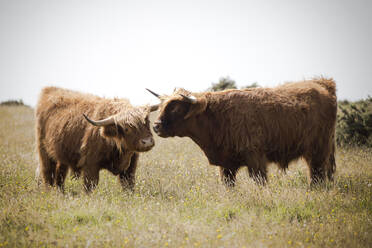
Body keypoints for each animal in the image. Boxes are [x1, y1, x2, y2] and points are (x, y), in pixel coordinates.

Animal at [147, 78, 338, 187]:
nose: (156, 126)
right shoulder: (226, 164)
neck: (216, 118)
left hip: (319, 148)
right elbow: (228, 184)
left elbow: (260, 182)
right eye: (162, 106)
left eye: (176, 108)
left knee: (317, 173)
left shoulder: (255, 157)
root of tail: (322, 84)